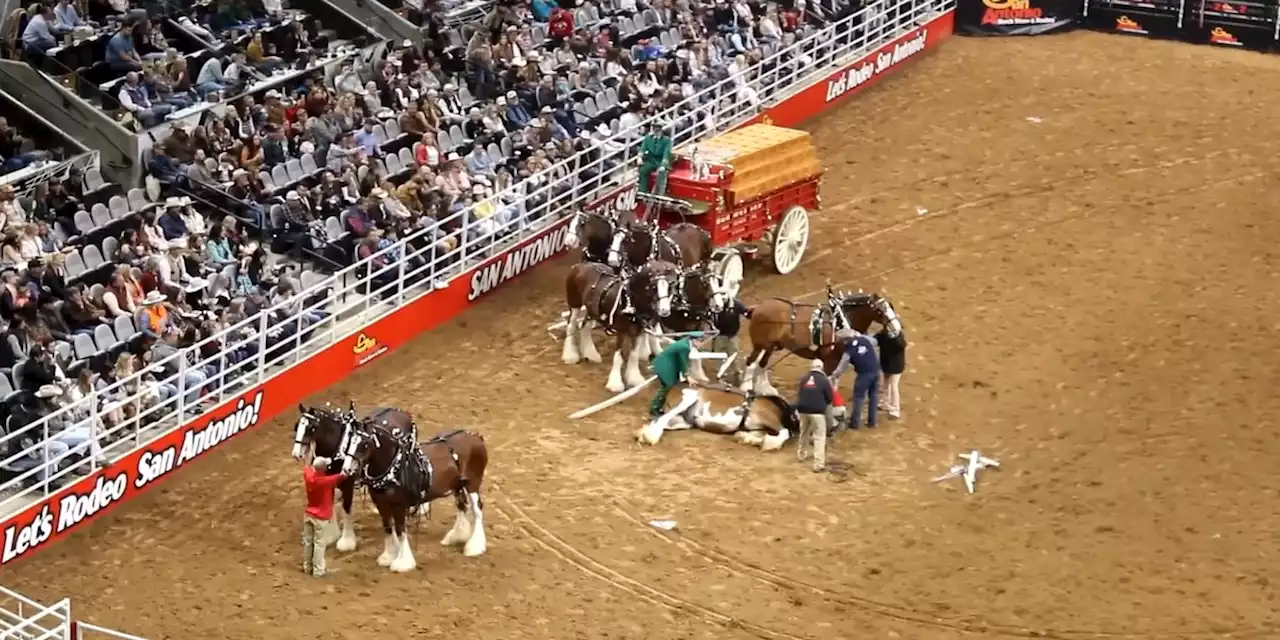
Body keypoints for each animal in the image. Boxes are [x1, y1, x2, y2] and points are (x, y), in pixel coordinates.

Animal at [340, 414, 488, 576]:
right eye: (348, 441)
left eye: (365, 444)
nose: (347, 469)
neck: (394, 467)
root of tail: (476, 437)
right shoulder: (381, 504)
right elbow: (388, 528)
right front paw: (388, 556)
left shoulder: (399, 505)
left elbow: (400, 530)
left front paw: (403, 561)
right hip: (457, 485)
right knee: (461, 506)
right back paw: (456, 536)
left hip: (473, 483)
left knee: (477, 509)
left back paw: (474, 546)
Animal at [634, 381, 793, 453]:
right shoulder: (767, 417)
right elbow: (785, 432)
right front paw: (770, 443)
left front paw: (747, 438)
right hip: (688, 398)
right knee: (661, 419)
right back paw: (650, 436)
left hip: (684, 421)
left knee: (657, 420)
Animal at [737, 290, 906, 394]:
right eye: (879, 311)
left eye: (890, 307)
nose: (897, 327)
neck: (840, 322)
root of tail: (758, 308)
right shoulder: (829, 360)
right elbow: (829, 380)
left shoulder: (839, 358)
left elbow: (834, 381)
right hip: (760, 345)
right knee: (751, 362)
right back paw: (745, 387)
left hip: (771, 346)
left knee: (762, 364)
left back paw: (765, 389)